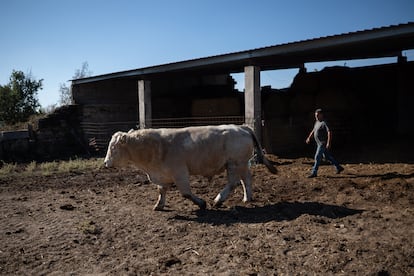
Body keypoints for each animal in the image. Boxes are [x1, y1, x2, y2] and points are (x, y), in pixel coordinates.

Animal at [104, 124, 278, 210]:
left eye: (113, 147)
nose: (105, 163)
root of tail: (241, 127)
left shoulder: (180, 172)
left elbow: (186, 193)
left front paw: (201, 203)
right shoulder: (162, 174)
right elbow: (161, 190)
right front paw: (159, 205)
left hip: (234, 163)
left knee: (233, 183)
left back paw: (218, 199)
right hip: (241, 164)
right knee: (246, 179)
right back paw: (247, 198)